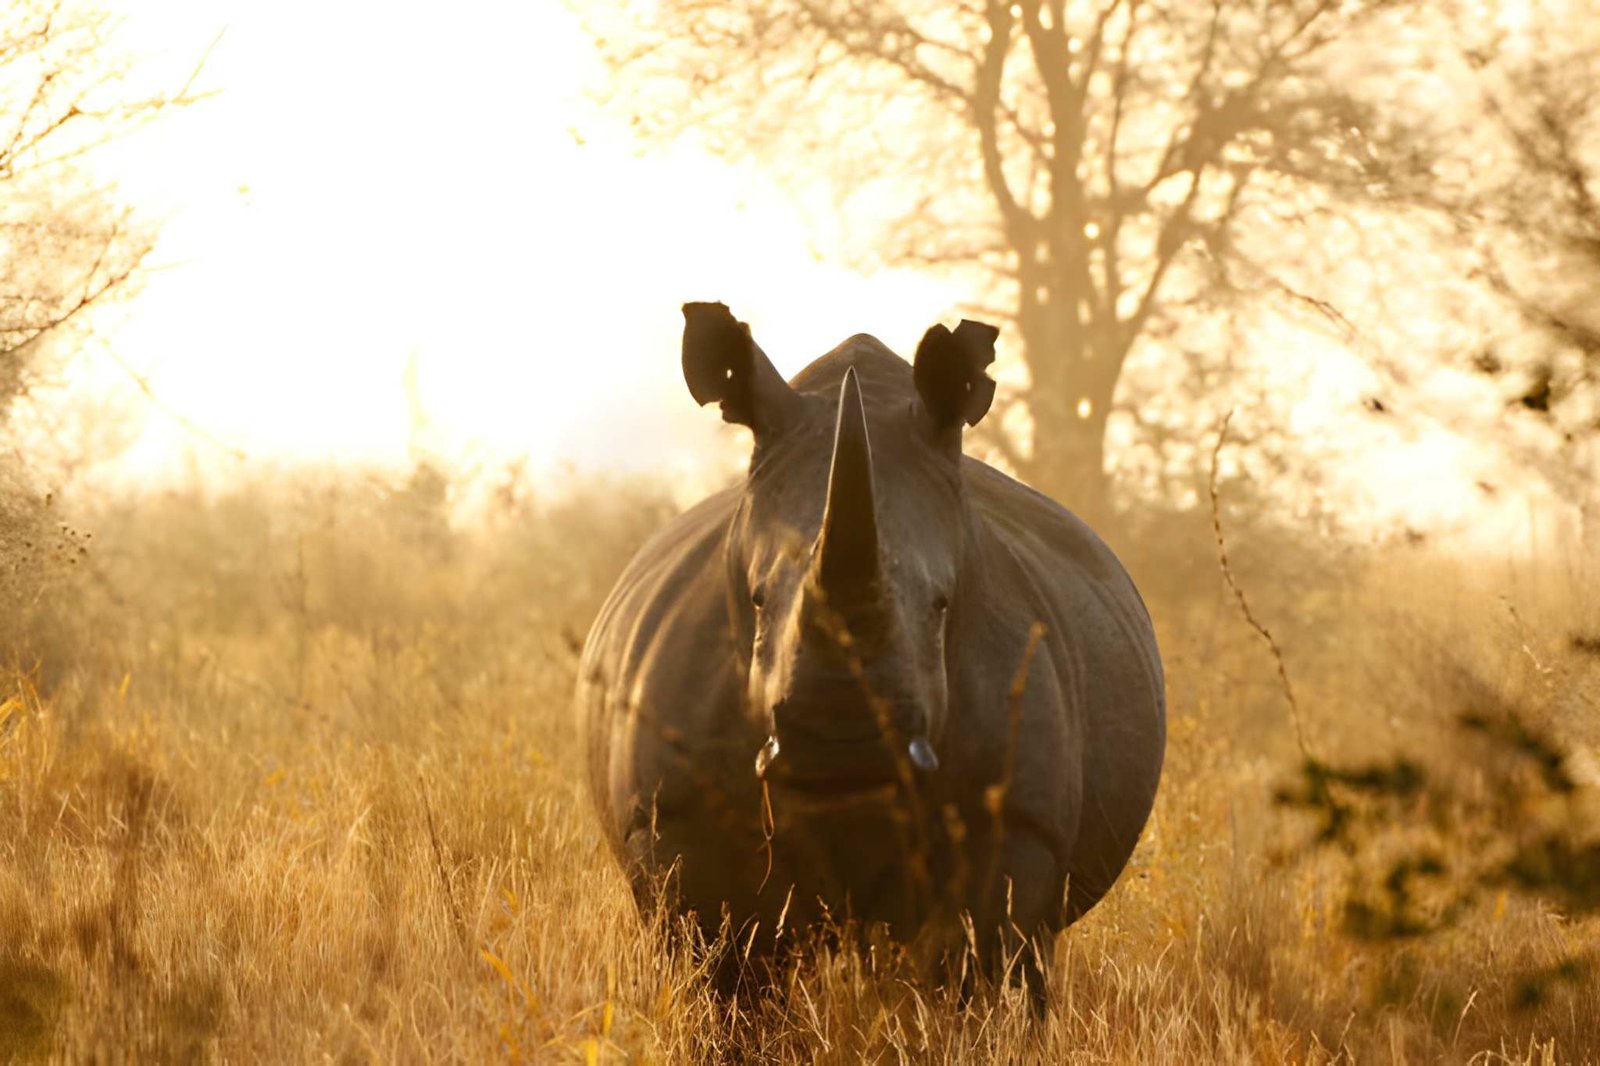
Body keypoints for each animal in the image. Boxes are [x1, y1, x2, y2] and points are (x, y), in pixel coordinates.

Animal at [577, 302, 1165, 995]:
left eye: (942, 605)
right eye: (755, 600)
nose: (840, 748)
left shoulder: (1017, 824)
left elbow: (979, 970)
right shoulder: (677, 820)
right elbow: (729, 975)